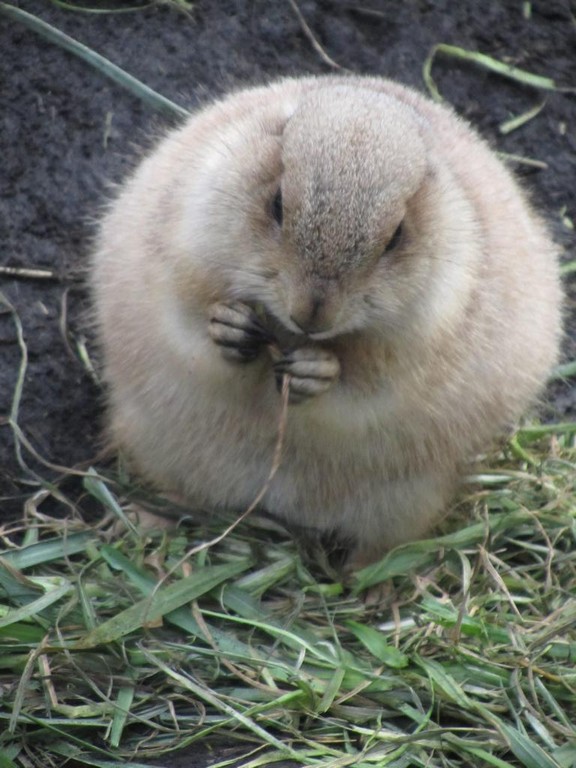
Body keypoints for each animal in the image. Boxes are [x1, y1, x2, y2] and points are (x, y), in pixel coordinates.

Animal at [90, 75, 562, 569]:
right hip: (155, 441)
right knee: (172, 491)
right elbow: (186, 323)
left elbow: (370, 388)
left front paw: (314, 370)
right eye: (277, 203)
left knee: (383, 547)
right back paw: (144, 525)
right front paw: (231, 328)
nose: (311, 313)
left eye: (396, 236)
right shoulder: (180, 250)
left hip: (407, 502)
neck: (286, 333)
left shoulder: (424, 339)